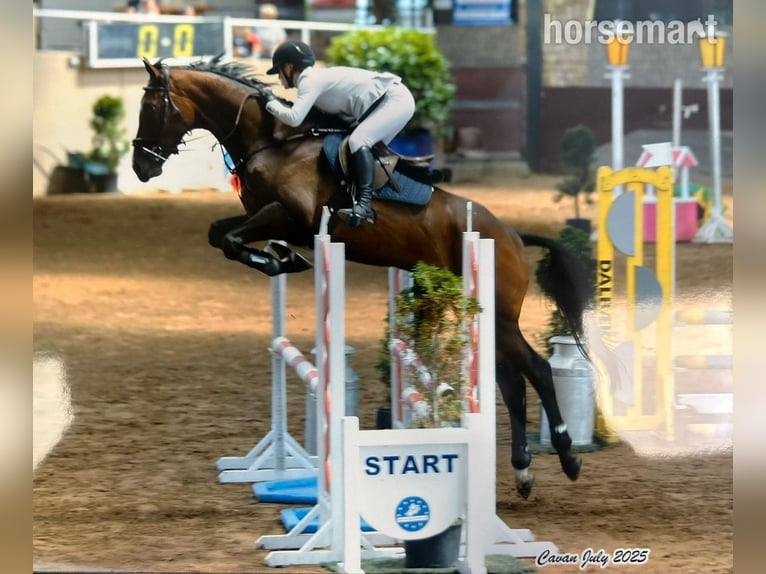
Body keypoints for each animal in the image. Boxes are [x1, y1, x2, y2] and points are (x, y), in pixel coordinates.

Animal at [132, 56, 592, 498]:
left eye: (151, 107)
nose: (140, 167)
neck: (272, 144)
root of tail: (512, 234)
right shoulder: (266, 217)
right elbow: (220, 235)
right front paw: (282, 259)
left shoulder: (289, 215)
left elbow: (229, 239)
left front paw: (280, 261)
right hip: (484, 315)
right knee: (511, 383)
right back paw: (522, 470)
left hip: (499, 315)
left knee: (537, 370)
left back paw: (568, 456)